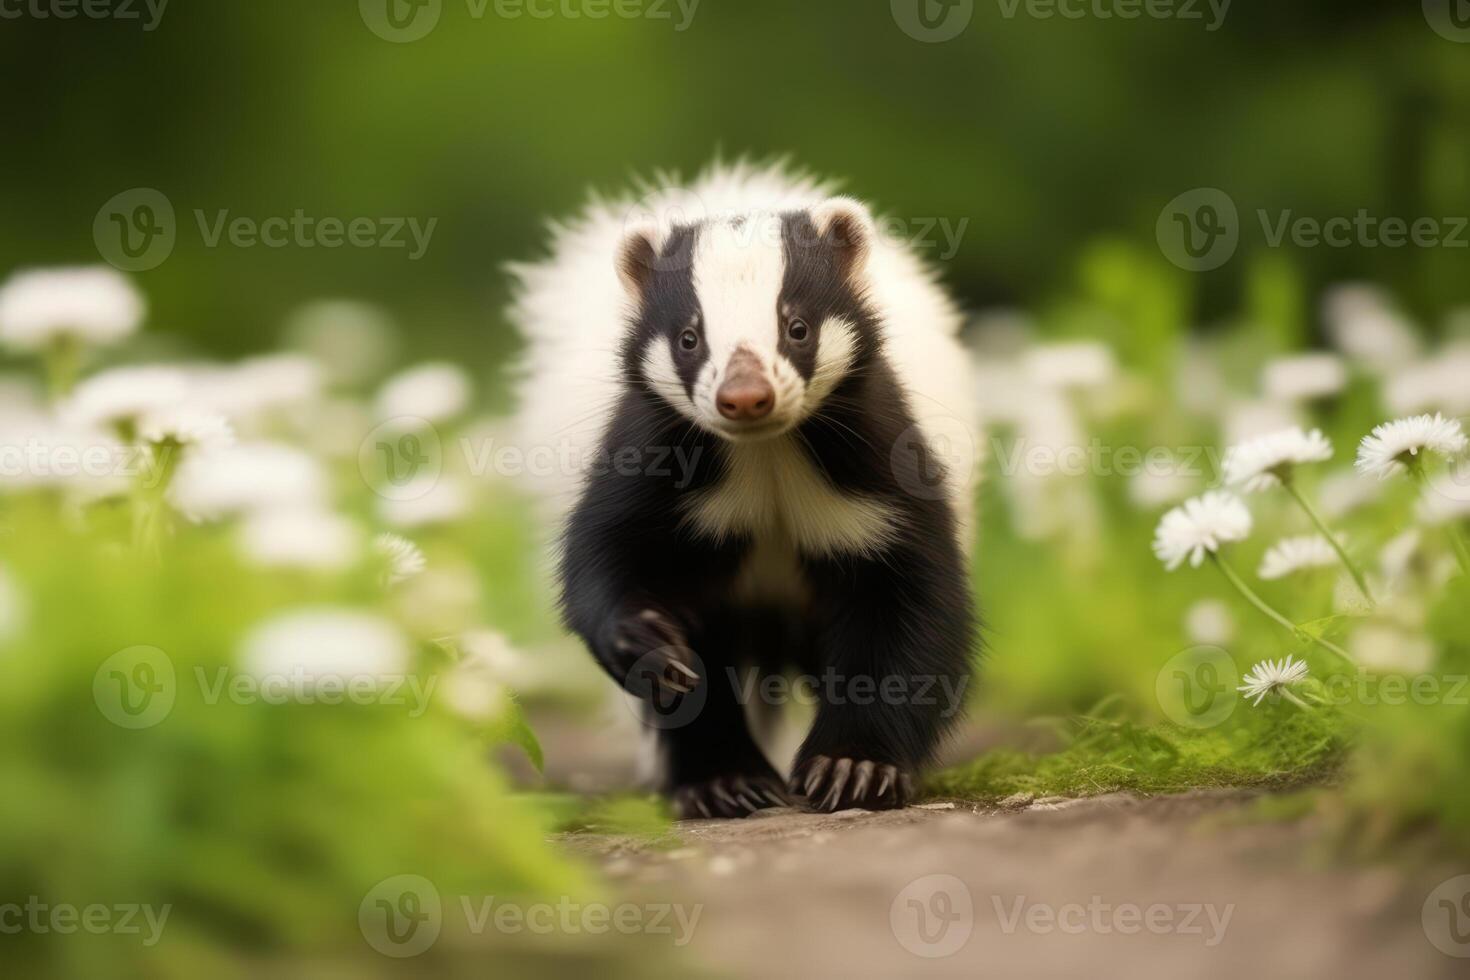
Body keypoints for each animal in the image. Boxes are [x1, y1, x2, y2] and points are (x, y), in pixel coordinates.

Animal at [511, 163, 981, 822]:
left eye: (797, 327)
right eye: (689, 337)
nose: (745, 395)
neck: (766, 458)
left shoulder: (883, 470)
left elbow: (909, 607)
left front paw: (853, 768)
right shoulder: (651, 458)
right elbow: (606, 558)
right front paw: (648, 643)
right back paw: (724, 782)